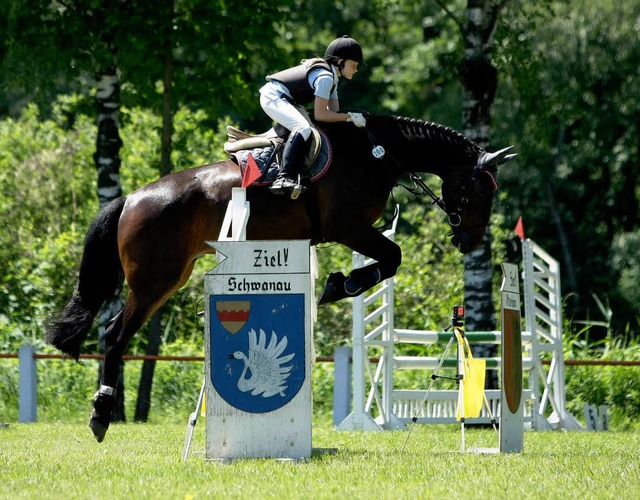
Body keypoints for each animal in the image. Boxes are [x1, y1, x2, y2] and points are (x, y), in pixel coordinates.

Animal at [45, 113, 516, 442]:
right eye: (481, 188)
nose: (471, 241)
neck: (376, 152)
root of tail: (130, 199)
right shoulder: (349, 228)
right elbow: (392, 257)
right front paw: (339, 284)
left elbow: (389, 260)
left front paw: (338, 283)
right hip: (154, 281)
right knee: (114, 334)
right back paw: (100, 416)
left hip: (170, 278)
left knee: (116, 331)